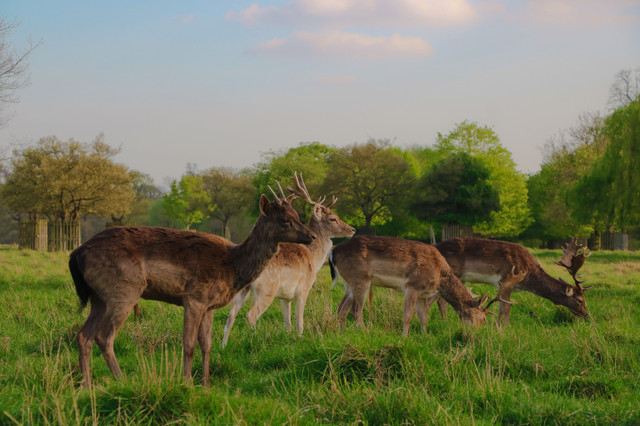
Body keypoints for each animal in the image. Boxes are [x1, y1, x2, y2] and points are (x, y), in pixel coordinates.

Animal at [69, 182, 315, 388]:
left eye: (296, 214)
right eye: (284, 219)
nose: (312, 235)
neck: (233, 266)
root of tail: (77, 253)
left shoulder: (209, 305)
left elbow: (206, 344)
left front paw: (206, 384)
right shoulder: (194, 298)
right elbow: (188, 344)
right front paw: (186, 382)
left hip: (98, 297)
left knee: (83, 336)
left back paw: (86, 385)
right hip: (124, 290)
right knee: (104, 337)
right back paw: (121, 380)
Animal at [221, 173, 355, 347]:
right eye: (332, 218)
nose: (352, 229)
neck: (313, 258)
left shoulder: (285, 297)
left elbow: (288, 323)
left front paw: (288, 339)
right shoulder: (303, 289)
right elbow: (299, 321)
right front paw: (300, 338)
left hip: (243, 289)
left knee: (231, 315)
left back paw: (223, 347)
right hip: (267, 288)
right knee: (251, 315)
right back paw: (255, 340)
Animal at [329, 235, 496, 337]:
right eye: (482, 319)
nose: (475, 334)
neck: (440, 276)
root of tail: (332, 252)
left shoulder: (423, 294)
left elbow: (423, 317)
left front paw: (425, 336)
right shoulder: (413, 286)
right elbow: (408, 315)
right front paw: (404, 337)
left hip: (349, 283)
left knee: (340, 308)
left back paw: (340, 333)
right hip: (361, 279)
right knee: (355, 311)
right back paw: (366, 333)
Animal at [434, 237, 592, 326]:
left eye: (585, 298)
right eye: (579, 300)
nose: (587, 316)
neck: (529, 275)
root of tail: (435, 246)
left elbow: (502, 308)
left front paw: (499, 327)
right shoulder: (506, 281)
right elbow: (506, 308)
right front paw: (503, 328)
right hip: (451, 273)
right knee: (441, 300)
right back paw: (445, 322)